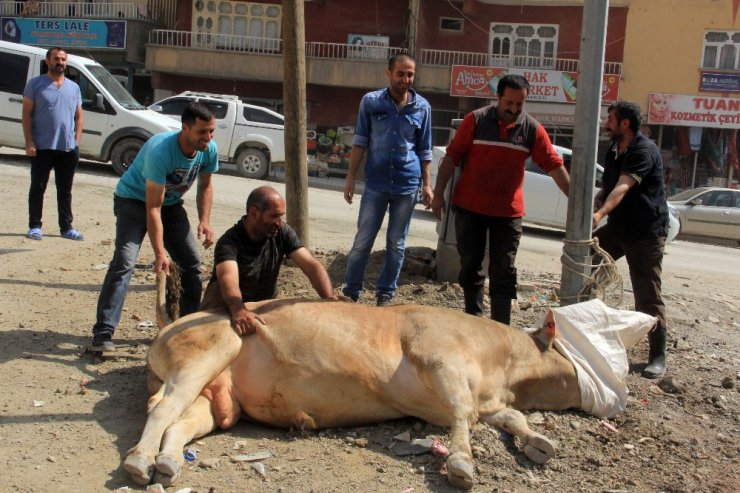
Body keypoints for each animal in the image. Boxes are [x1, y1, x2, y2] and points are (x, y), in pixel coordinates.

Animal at [125, 272, 584, 488]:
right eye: (565, 351)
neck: (498, 365)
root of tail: (171, 322)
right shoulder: (438, 358)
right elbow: (462, 413)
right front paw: (460, 464)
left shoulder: (487, 401)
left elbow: (509, 418)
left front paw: (540, 442)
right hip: (213, 347)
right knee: (161, 408)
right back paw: (139, 461)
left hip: (220, 400)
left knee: (181, 422)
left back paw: (167, 462)